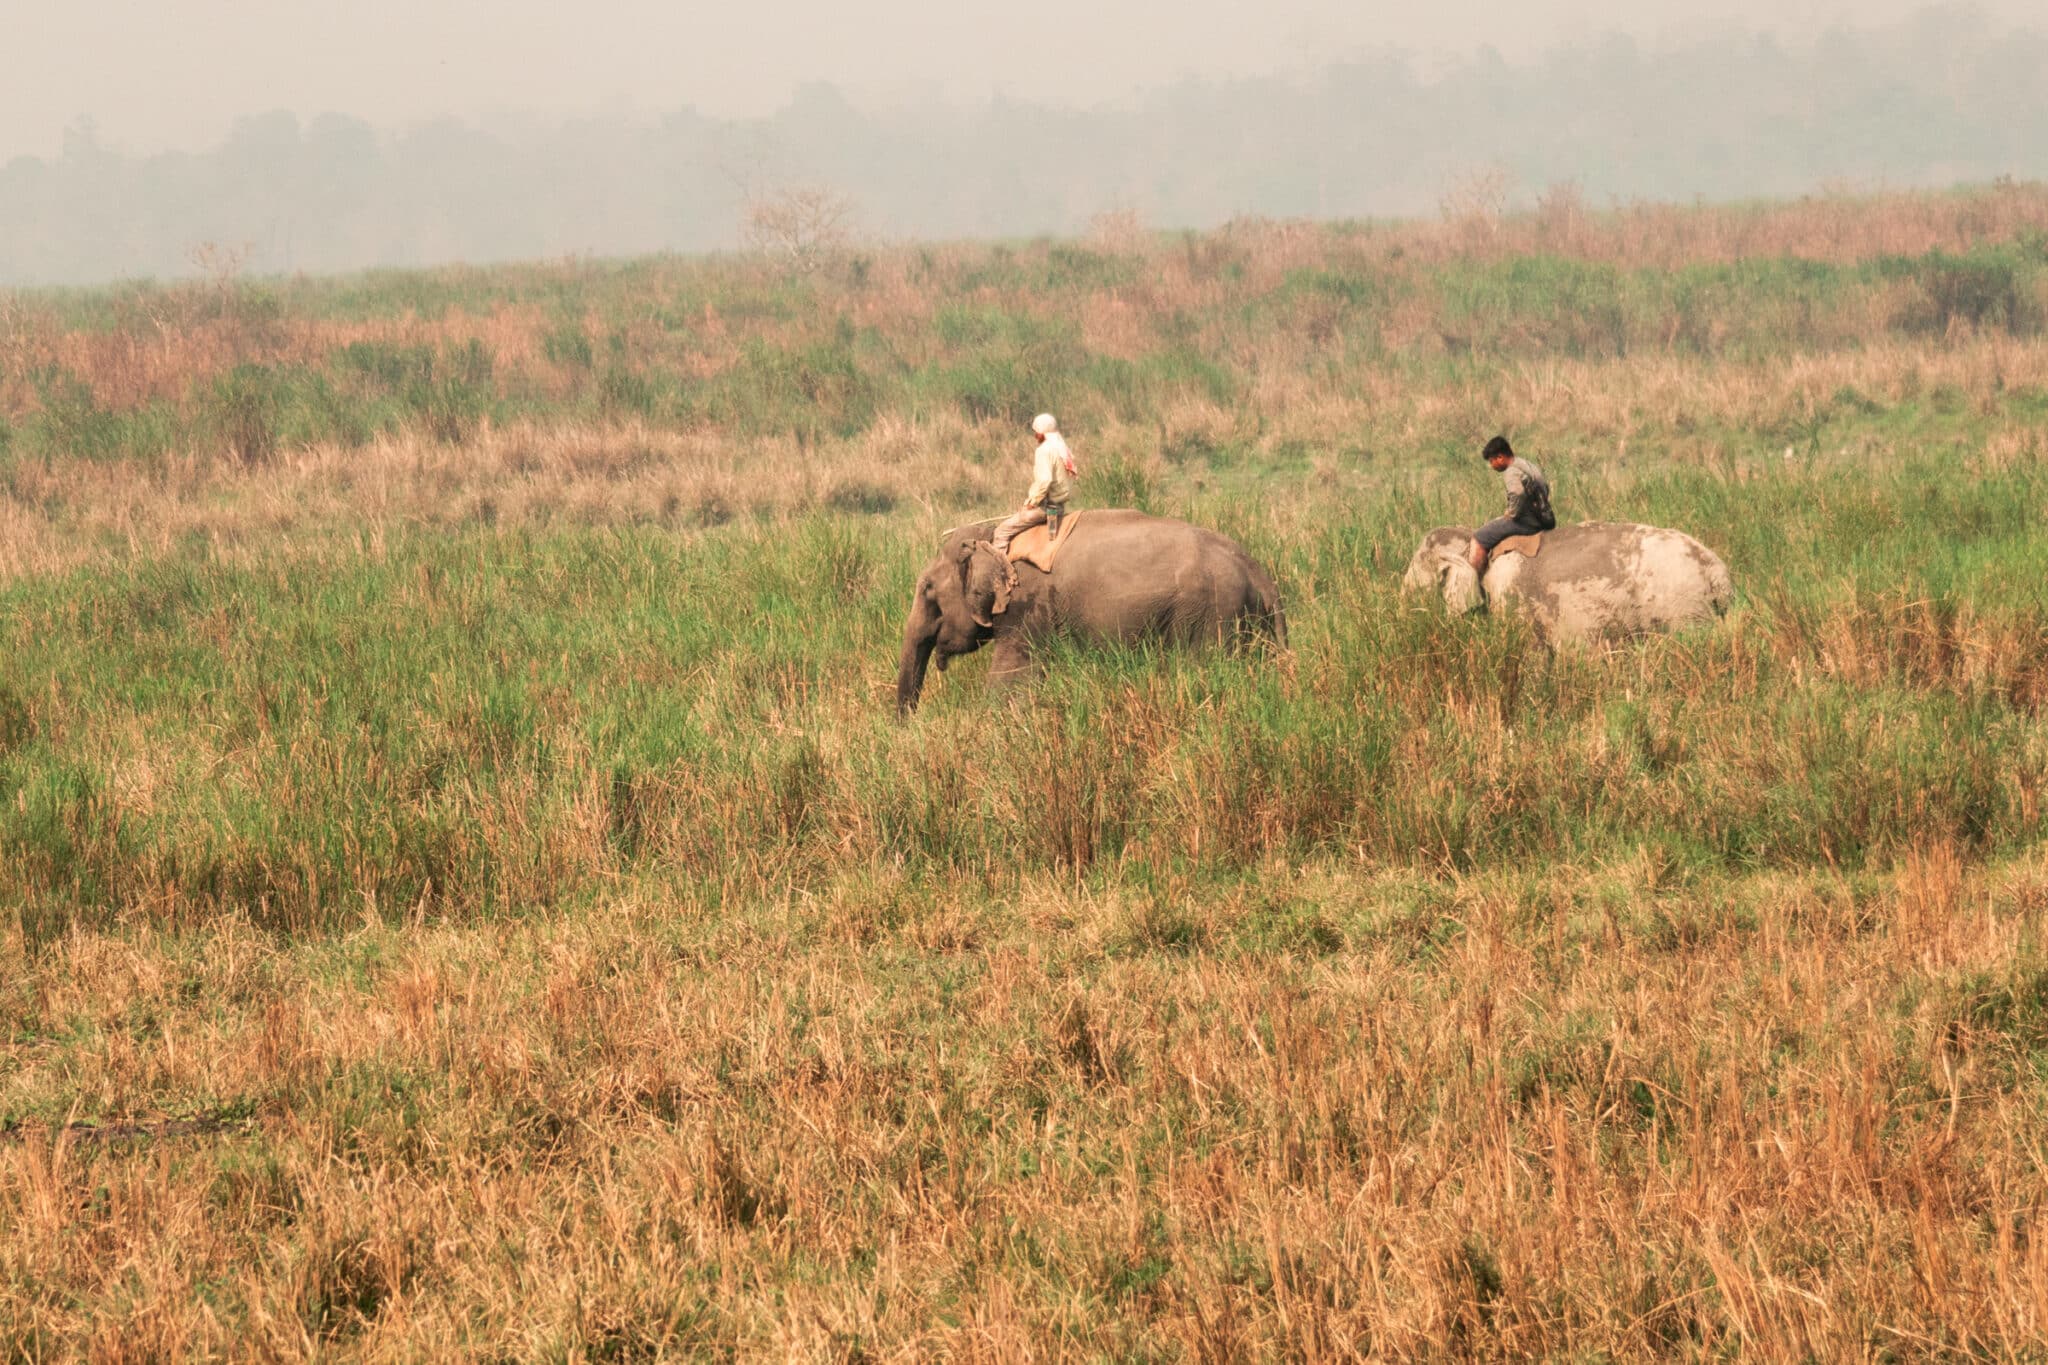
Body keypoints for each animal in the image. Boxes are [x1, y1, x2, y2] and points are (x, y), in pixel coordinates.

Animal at [895, 509, 1287, 713]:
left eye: (927, 589)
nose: (907, 725)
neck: (991, 535)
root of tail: (1258, 572)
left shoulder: (1027, 607)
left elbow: (1010, 680)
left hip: (1210, 616)